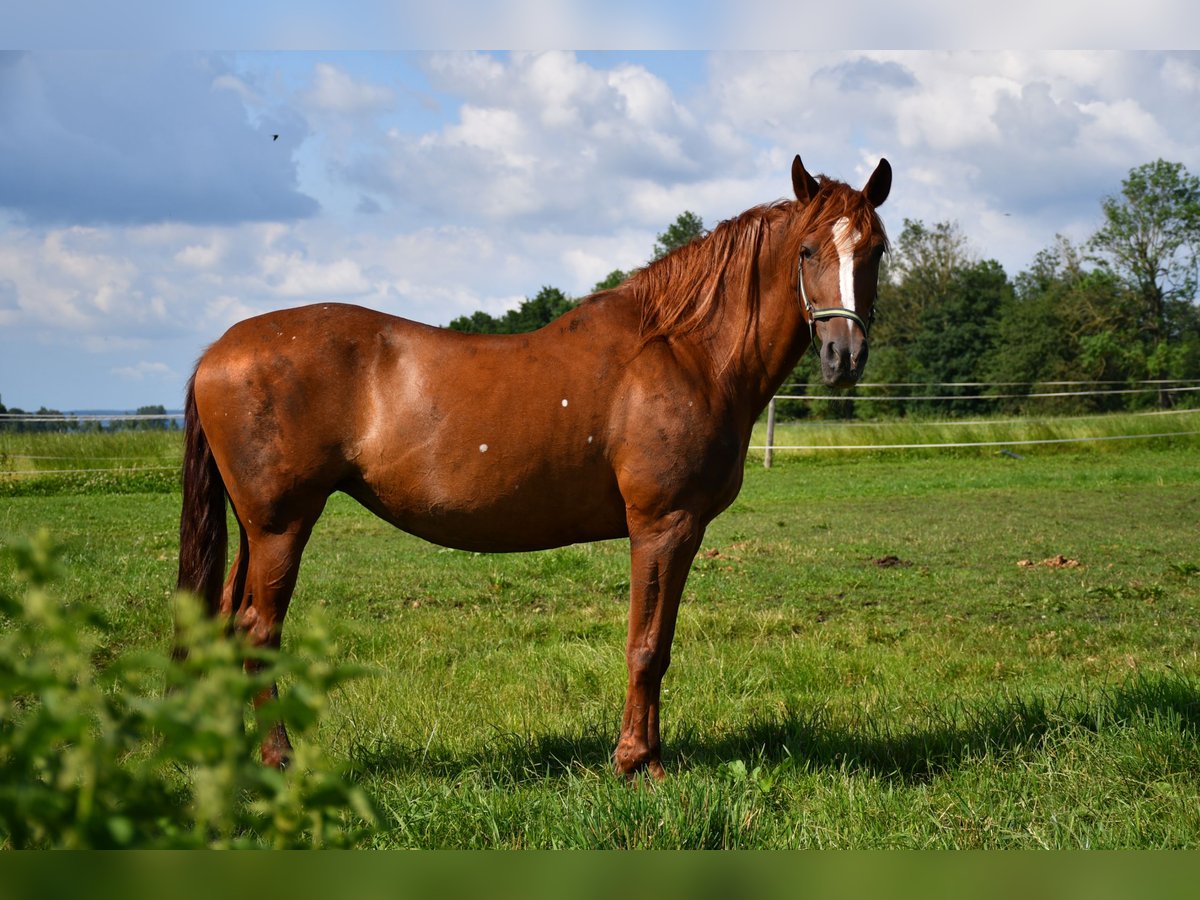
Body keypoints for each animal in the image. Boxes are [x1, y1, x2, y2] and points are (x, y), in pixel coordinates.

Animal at [177, 151, 892, 777]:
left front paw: (647, 757)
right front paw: (637, 764)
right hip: (281, 526)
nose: (844, 356)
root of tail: (218, 351)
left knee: (231, 625)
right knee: (259, 631)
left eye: (877, 249)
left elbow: (657, 647)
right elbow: (646, 647)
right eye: (807, 250)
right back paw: (277, 758)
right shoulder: (664, 525)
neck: (686, 352)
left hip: (256, 529)